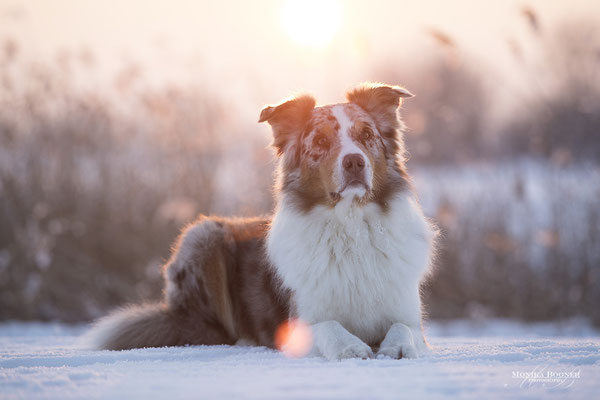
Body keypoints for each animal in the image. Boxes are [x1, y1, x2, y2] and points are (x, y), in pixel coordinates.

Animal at [85, 81, 436, 360]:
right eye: (321, 142)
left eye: (366, 135)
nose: (354, 162)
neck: (349, 226)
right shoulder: (297, 325)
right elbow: (328, 325)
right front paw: (350, 346)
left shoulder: (409, 317)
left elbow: (403, 328)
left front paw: (397, 346)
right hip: (202, 234)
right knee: (209, 331)